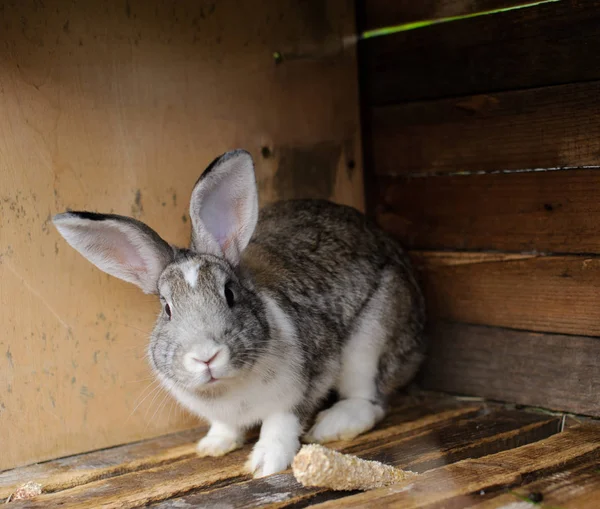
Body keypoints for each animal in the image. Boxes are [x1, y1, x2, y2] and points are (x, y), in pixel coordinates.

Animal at [52, 150, 426, 476]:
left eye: (230, 294)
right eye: (167, 308)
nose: (205, 357)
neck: (228, 388)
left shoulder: (304, 385)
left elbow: (281, 424)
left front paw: (265, 464)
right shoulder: (223, 413)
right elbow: (225, 426)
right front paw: (213, 446)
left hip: (371, 340)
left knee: (370, 401)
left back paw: (332, 425)